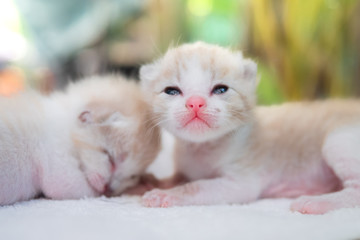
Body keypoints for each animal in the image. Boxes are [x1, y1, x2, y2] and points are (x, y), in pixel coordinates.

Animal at [0, 75, 160, 204]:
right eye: (110, 157)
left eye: (131, 176)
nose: (108, 187)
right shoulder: (55, 151)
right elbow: (64, 186)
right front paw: (139, 188)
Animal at [139, 41, 360, 214]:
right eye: (171, 91)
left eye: (221, 89)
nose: (195, 103)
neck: (201, 149)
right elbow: (182, 177)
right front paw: (157, 181)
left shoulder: (241, 181)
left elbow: (196, 186)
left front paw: (164, 194)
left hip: (337, 140)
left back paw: (316, 202)